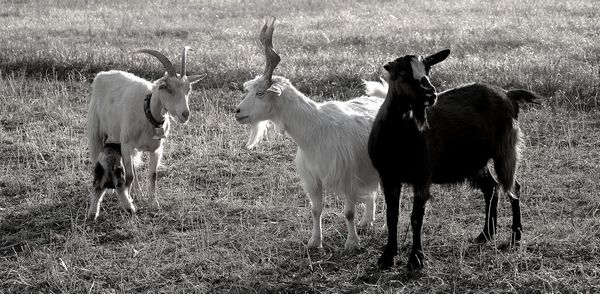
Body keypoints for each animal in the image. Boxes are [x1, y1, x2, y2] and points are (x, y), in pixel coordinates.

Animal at [234, 19, 384, 250]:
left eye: (259, 93)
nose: (237, 112)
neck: (315, 131)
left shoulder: (348, 178)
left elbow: (348, 212)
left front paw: (352, 243)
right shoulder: (313, 180)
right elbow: (316, 210)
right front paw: (314, 242)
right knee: (372, 192)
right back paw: (367, 221)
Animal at [368, 48, 540, 272]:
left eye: (428, 68)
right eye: (403, 71)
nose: (430, 94)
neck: (400, 137)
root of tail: (508, 94)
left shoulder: (423, 176)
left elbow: (416, 218)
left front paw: (416, 259)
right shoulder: (388, 176)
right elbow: (392, 216)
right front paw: (387, 257)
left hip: (506, 149)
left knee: (513, 188)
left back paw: (516, 235)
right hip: (476, 160)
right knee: (491, 187)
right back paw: (486, 234)